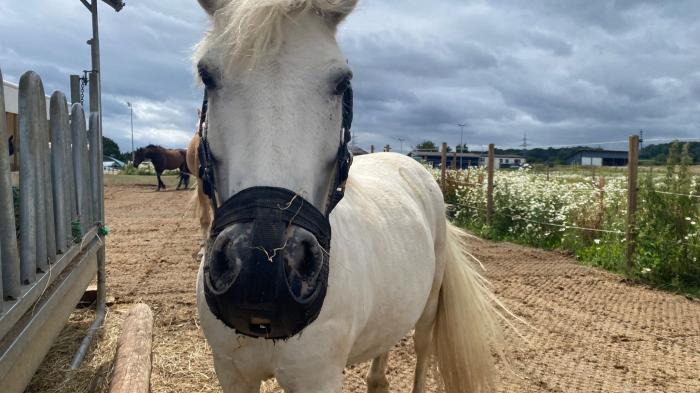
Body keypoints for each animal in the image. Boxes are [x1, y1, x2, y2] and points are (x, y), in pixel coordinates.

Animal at [191, 1, 498, 390]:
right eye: (207, 75)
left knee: (422, 354)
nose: (261, 271)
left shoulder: (317, 379)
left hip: (428, 312)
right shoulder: (233, 374)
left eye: (341, 82)